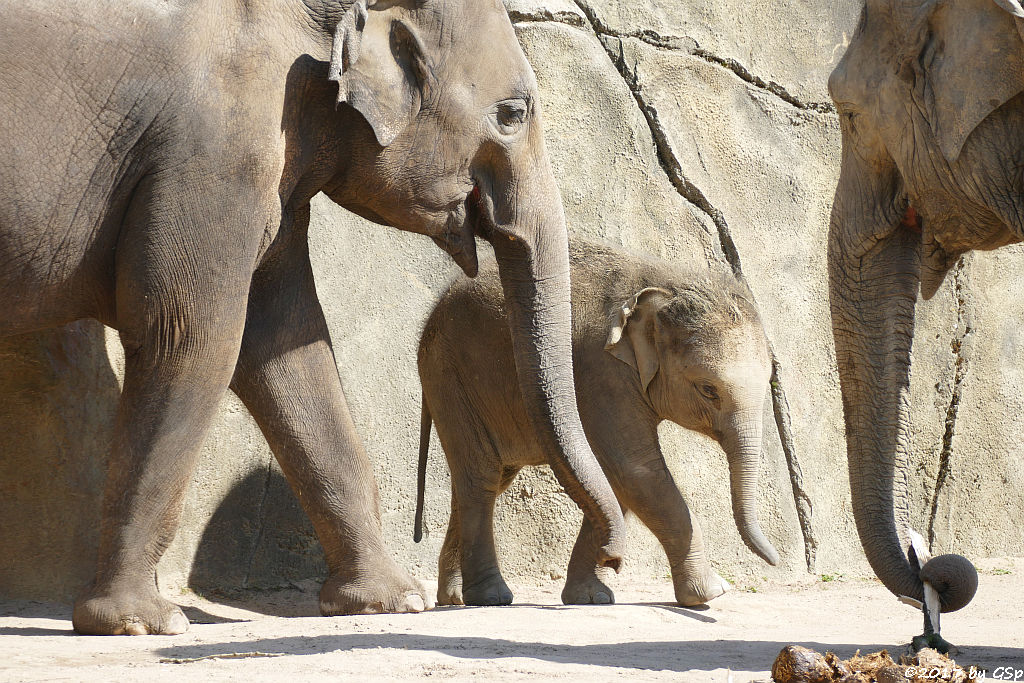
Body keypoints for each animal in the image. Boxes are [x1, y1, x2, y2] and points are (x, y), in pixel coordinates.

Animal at [0, 0, 622, 634]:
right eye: (512, 113)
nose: (612, 563)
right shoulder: (214, 155)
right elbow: (193, 339)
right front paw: (141, 622)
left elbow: (289, 348)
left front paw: (391, 600)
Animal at [411, 241, 778, 610]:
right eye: (708, 390)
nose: (613, 560)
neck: (664, 283)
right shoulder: (601, 371)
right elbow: (635, 468)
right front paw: (711, 593)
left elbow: (617, 478)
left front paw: (591, 597)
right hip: (449, 374)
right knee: (482, 476)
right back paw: (490, 596)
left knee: (491, 477)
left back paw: (454, 596)